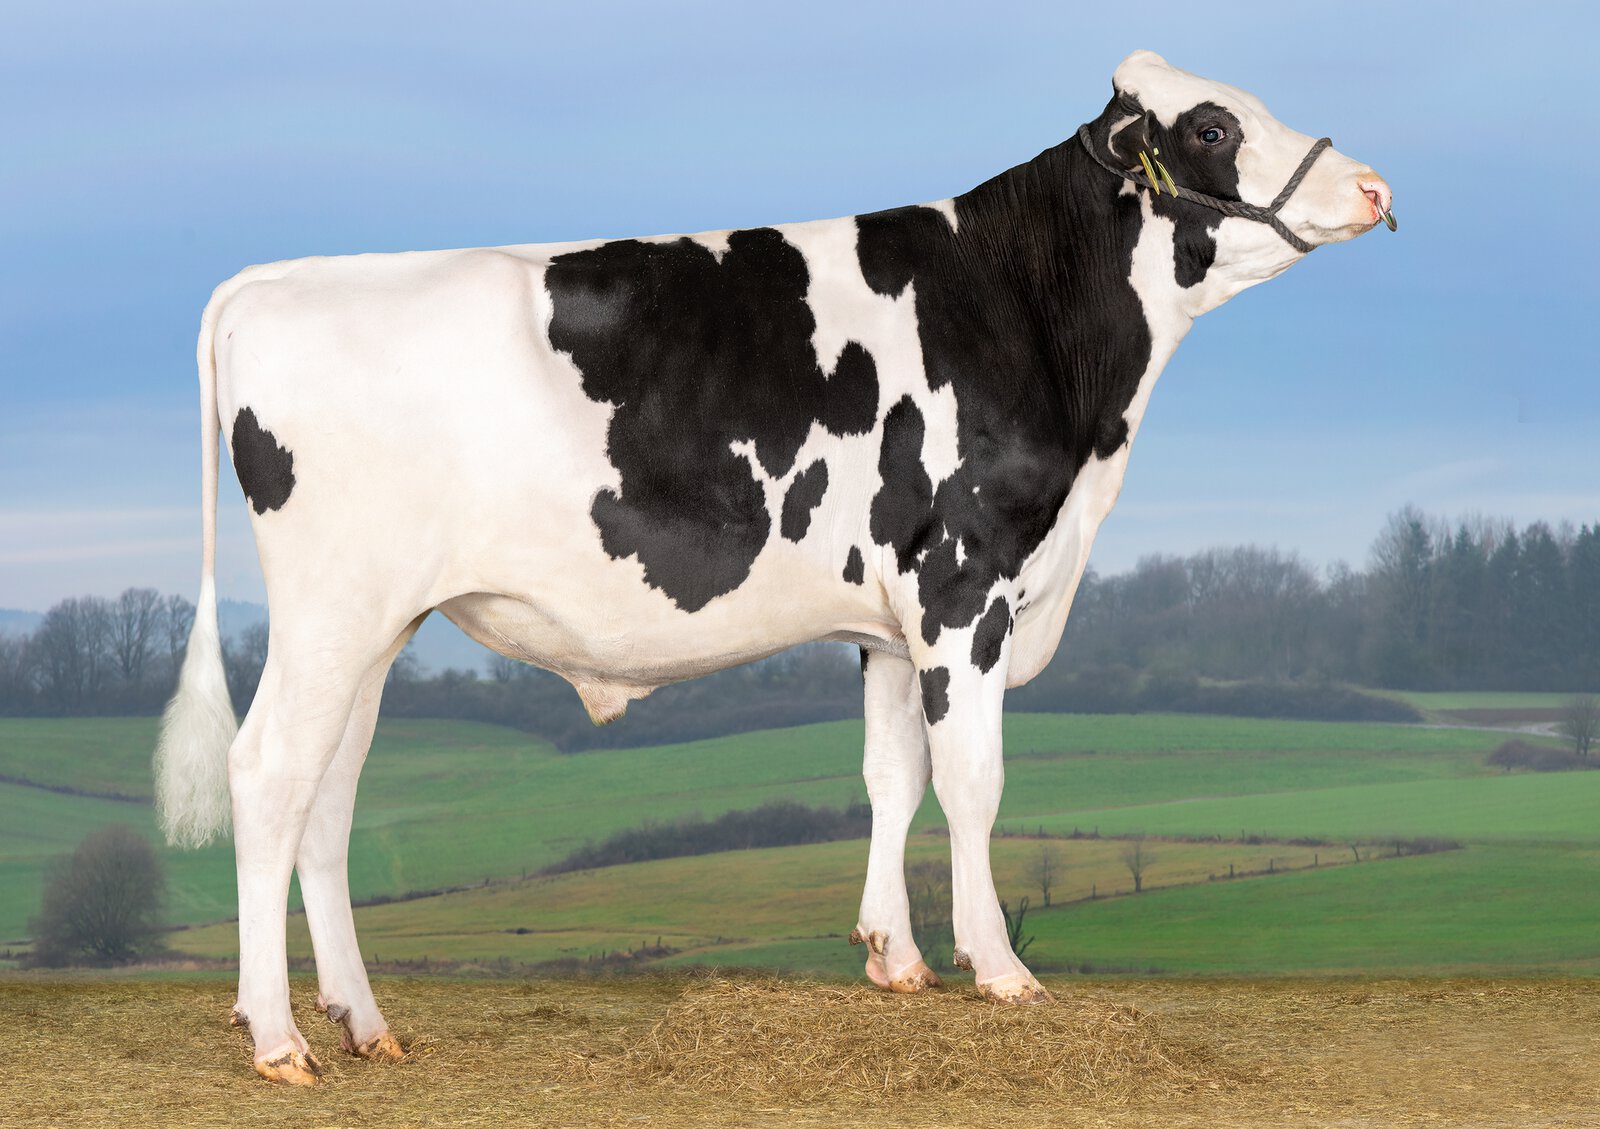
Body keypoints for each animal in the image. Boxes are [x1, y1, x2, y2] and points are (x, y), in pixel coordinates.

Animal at [155, 50, 1393, 1083]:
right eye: (1215, 126)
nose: (1376, 186)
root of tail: (273, 282)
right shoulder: (965, 582)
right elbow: (973, 781)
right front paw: (998, 969)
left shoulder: (890, 617)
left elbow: (891, 776)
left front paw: (895, 958)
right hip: (332, 608)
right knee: (267, 774)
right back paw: (276, 1040)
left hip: (378, 623)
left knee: (328, 796)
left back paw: (364, 1024)